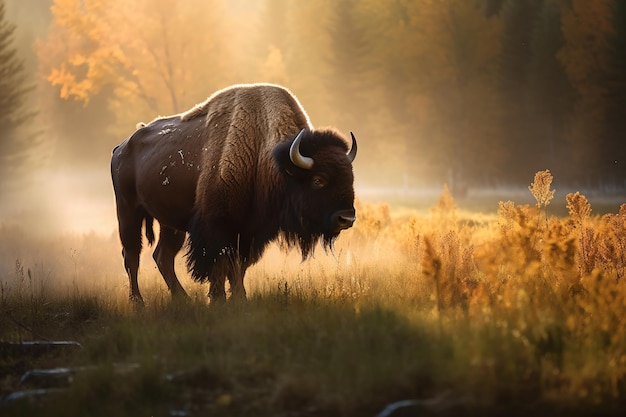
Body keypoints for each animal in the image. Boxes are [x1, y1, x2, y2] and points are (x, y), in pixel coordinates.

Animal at [111, 83, 356, 302]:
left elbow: (238, 267)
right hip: (128, 212)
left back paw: (183, 299)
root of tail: (121, 148)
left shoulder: (248, 232)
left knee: (162, 256)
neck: (264, 155)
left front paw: (239, 298)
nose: (346, 218)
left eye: (350, 177)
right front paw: (218, 299)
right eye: (318, 180)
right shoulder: (218, 227)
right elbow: (219, 264)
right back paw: (138, 302)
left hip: (170, 224)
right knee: (132, 255)